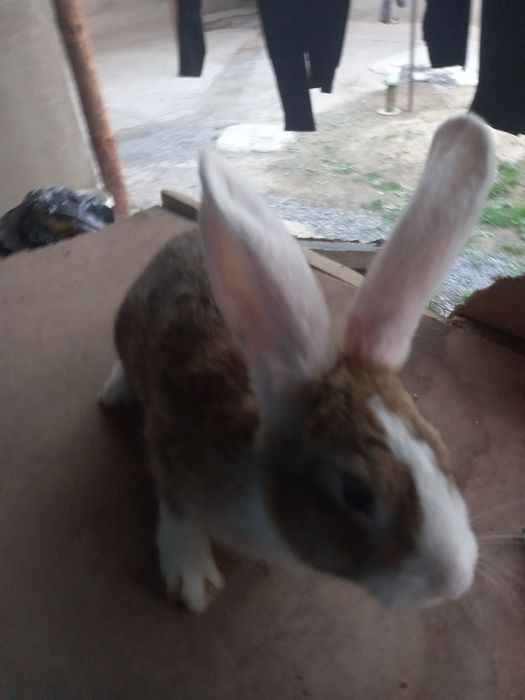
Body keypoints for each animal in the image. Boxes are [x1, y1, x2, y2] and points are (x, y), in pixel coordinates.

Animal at [100, 114, 494, 613]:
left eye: (440, 448)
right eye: (356, 494)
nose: (454, 581)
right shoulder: (172, 454)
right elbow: (177, 515)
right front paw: (193, 582)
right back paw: (114, 392)